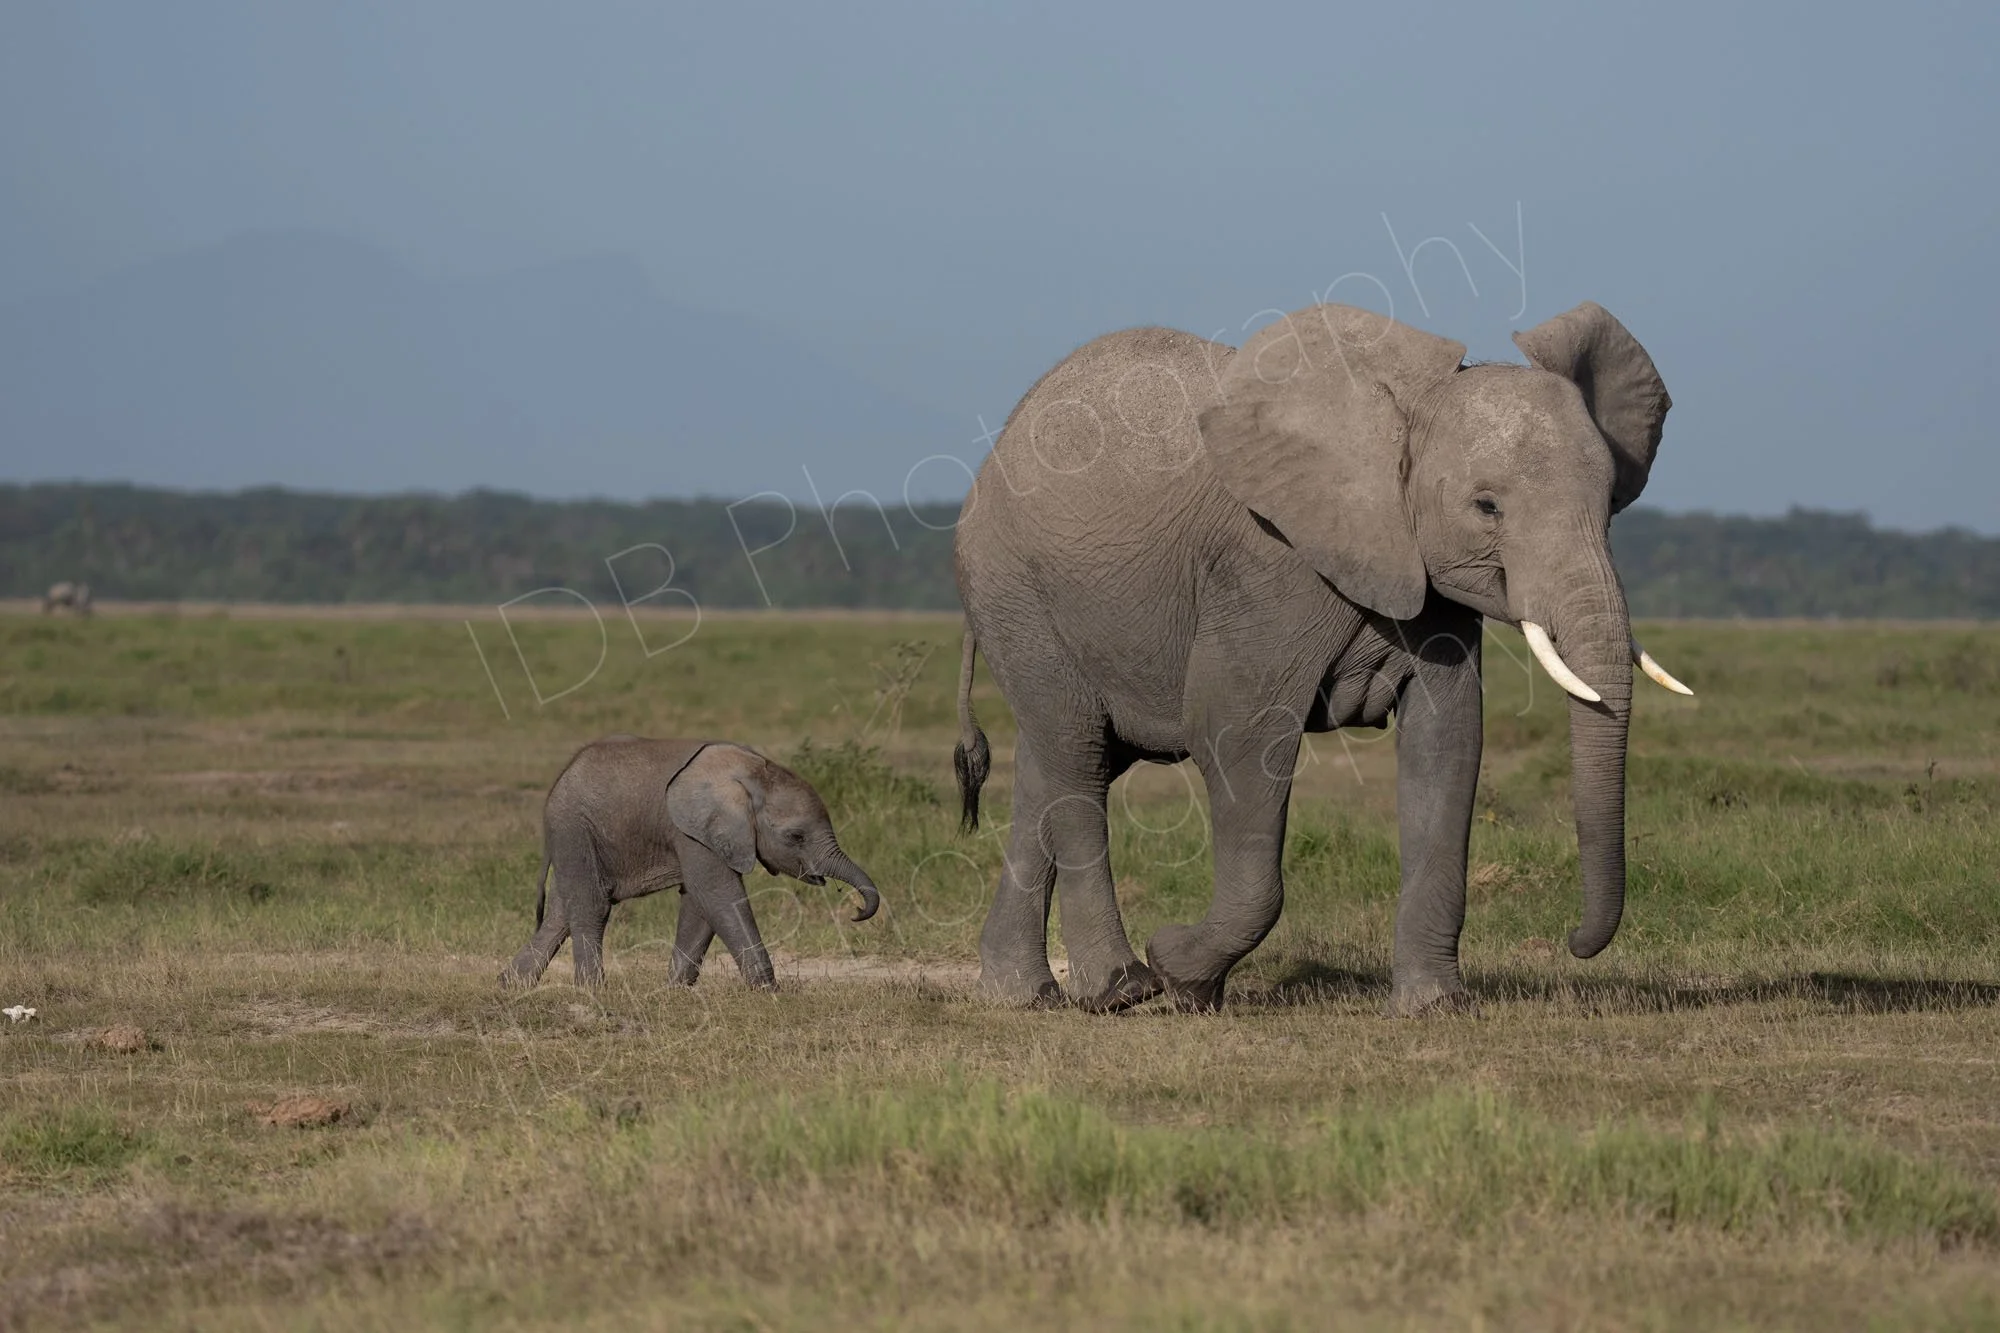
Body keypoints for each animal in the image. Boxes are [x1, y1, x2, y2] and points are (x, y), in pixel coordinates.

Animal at [502, 736, 882, 990]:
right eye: (796, 837)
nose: (855, 911)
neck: (751, 773)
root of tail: (560, 778)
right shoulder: (691, 830)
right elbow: (718, 893)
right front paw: (771, 993)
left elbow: (701, 902)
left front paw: (673, 990)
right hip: (574, 828)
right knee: (591, 904)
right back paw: (592, 991)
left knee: (561, 910)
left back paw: (511, 985)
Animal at [950, 301, 1692, 1015]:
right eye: (1487, 506)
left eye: (1610, 502)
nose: (1574, 941)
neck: (1401, 417)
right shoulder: (1268, 567)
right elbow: (1235, 735)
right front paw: (1180, 975)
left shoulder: (1426, 584)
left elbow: (1447, 742)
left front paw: (1436, 1007)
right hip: (1018, 594)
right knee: (1076, 755)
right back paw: (1120, 989)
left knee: (1055, 766)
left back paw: (1022, 994)